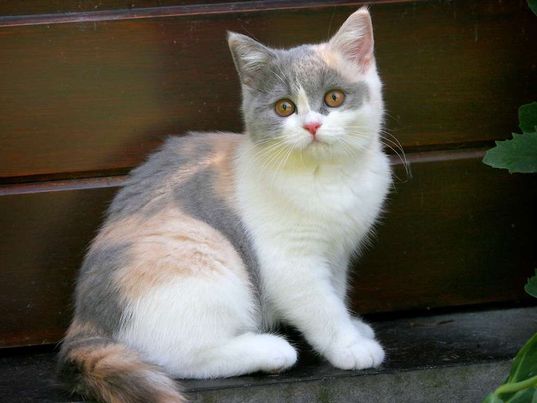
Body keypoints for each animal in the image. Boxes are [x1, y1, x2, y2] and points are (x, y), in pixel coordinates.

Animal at [58, 7, 392, 403]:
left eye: (335, 98)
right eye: (284, 107)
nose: (311, 126)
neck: (327, 176)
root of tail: (85, 325)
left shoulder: (336, 254)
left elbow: (336, 293)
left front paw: (352, 326)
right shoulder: (290, 263)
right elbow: (321, 307)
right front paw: (349, 346)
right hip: (202, 251)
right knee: (177, 356)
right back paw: (270, 350)